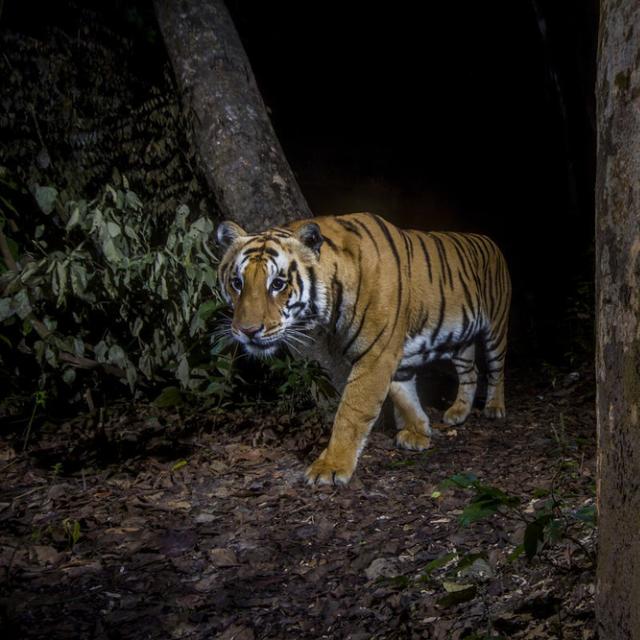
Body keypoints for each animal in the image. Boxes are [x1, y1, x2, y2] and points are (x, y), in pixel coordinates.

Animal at [216, 213, 511, 486]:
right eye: (237, 283)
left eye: (277, 284)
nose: (247, 330)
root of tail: (489, 241)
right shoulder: (393, 355)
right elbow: (403, 394)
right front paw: (418, 431)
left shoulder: (377, 354)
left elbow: (352, 411)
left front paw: (331, 467)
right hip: (460, 340)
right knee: (471, 372)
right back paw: (458, 412)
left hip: (496, 326)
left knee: (497, 369)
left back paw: (494, 408)